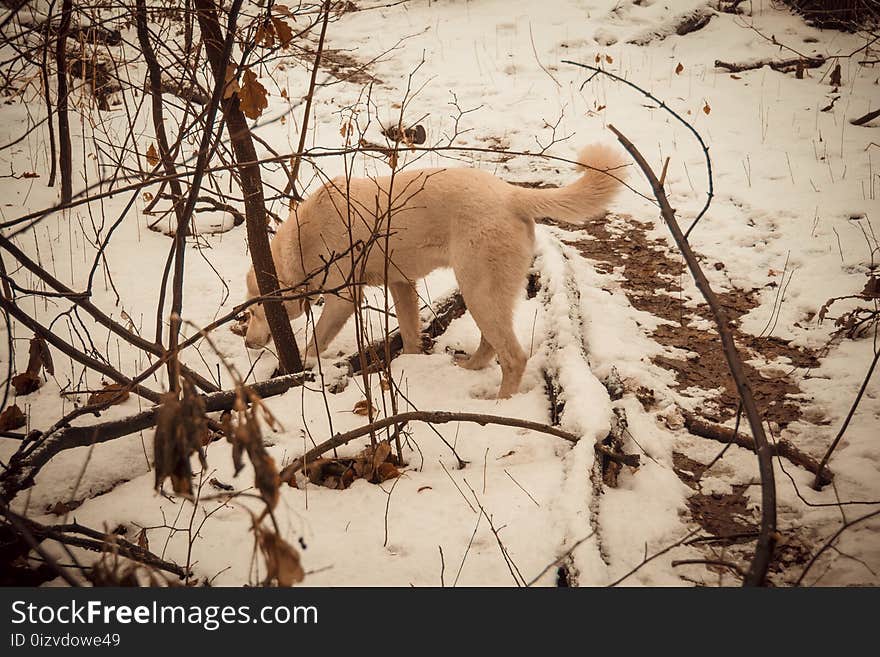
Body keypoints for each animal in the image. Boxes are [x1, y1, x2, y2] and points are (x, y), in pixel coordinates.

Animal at [241, 144, 624, 398]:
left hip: (478, 289)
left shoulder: (345, 297)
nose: (246, 343)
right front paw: (411, 365)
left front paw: (305, 362)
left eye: (259, 310)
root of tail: (511, 195)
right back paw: (469, 369)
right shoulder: (400, 283)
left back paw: (500, 405)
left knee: (513, 356)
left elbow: (318, 337)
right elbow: (411, 334)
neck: (304, 240)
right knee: (491, 344)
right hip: (484, 292)